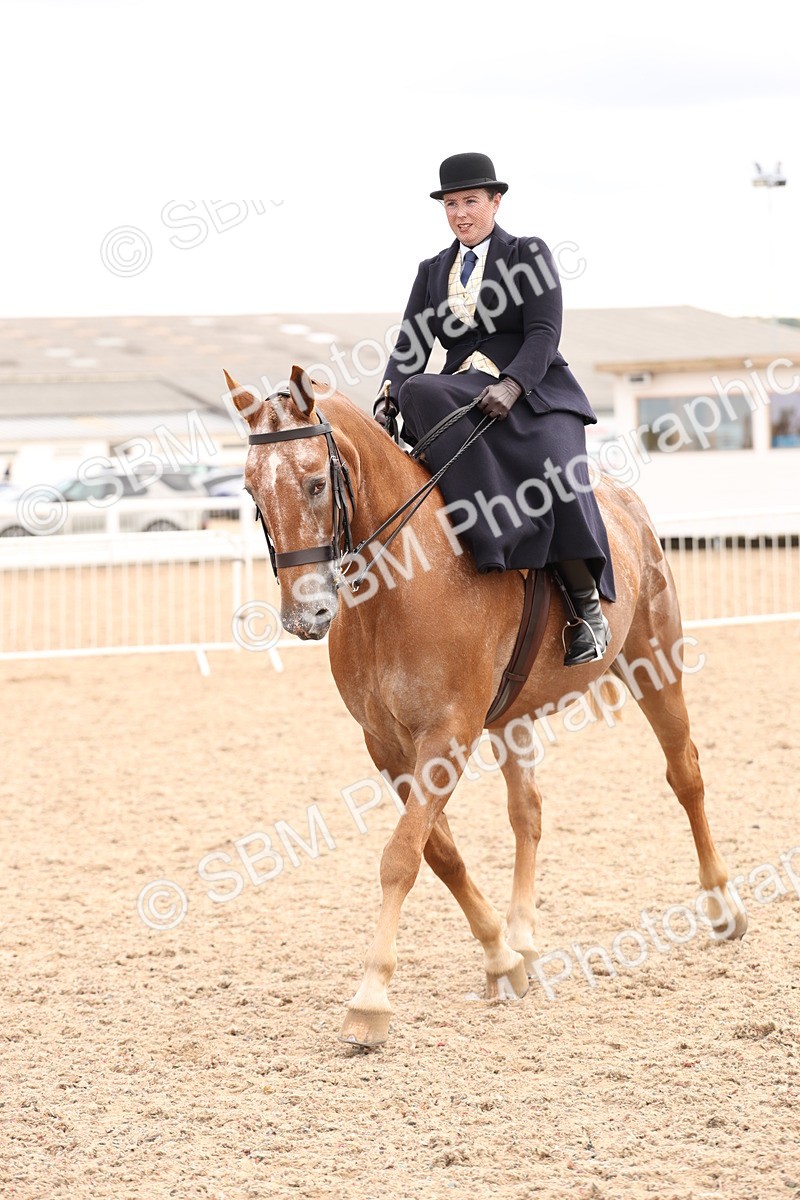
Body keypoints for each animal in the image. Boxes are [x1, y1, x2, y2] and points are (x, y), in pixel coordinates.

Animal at [224, 364, 747, 1048]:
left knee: (685, 774)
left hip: (653, 663)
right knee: (527, 812)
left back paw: (722, 906)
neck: (402, 582)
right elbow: (439, 853)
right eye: (251, 489)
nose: (303, 615)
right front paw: (500, 957)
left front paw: (370, 1000)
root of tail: (621, 501)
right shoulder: (387, 744)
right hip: (513, 715)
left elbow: (400, 856)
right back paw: (524, 937)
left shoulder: (448, 733)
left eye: (315, 483)